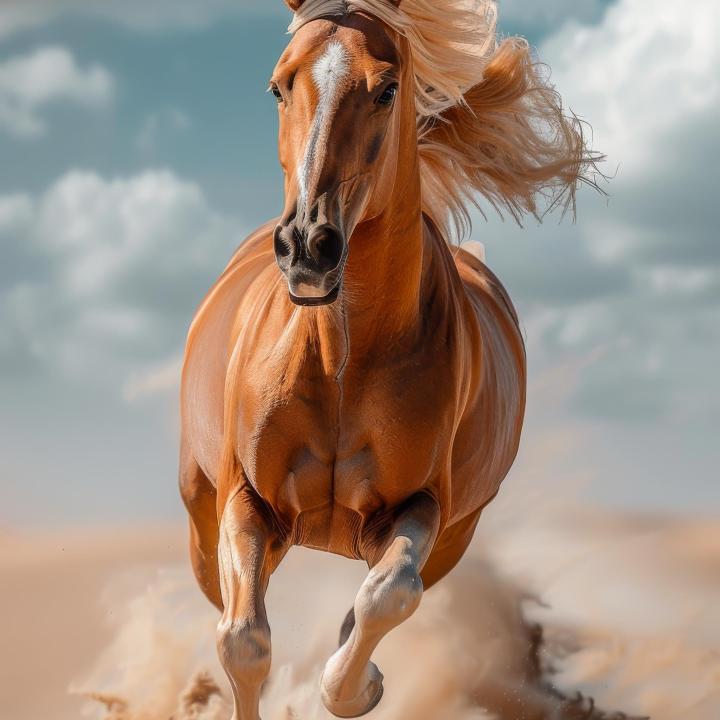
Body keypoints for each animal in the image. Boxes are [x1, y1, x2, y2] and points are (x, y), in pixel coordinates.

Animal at [179, 1, 598, 717]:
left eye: (387, 89)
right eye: (278, 86)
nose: (307, 247)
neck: (341, 362)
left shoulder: (421, 508)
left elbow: (387, 596)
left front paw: (358, 686)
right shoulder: (246, 499)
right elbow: (243, 640)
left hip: (455, 532)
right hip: (201, 507)